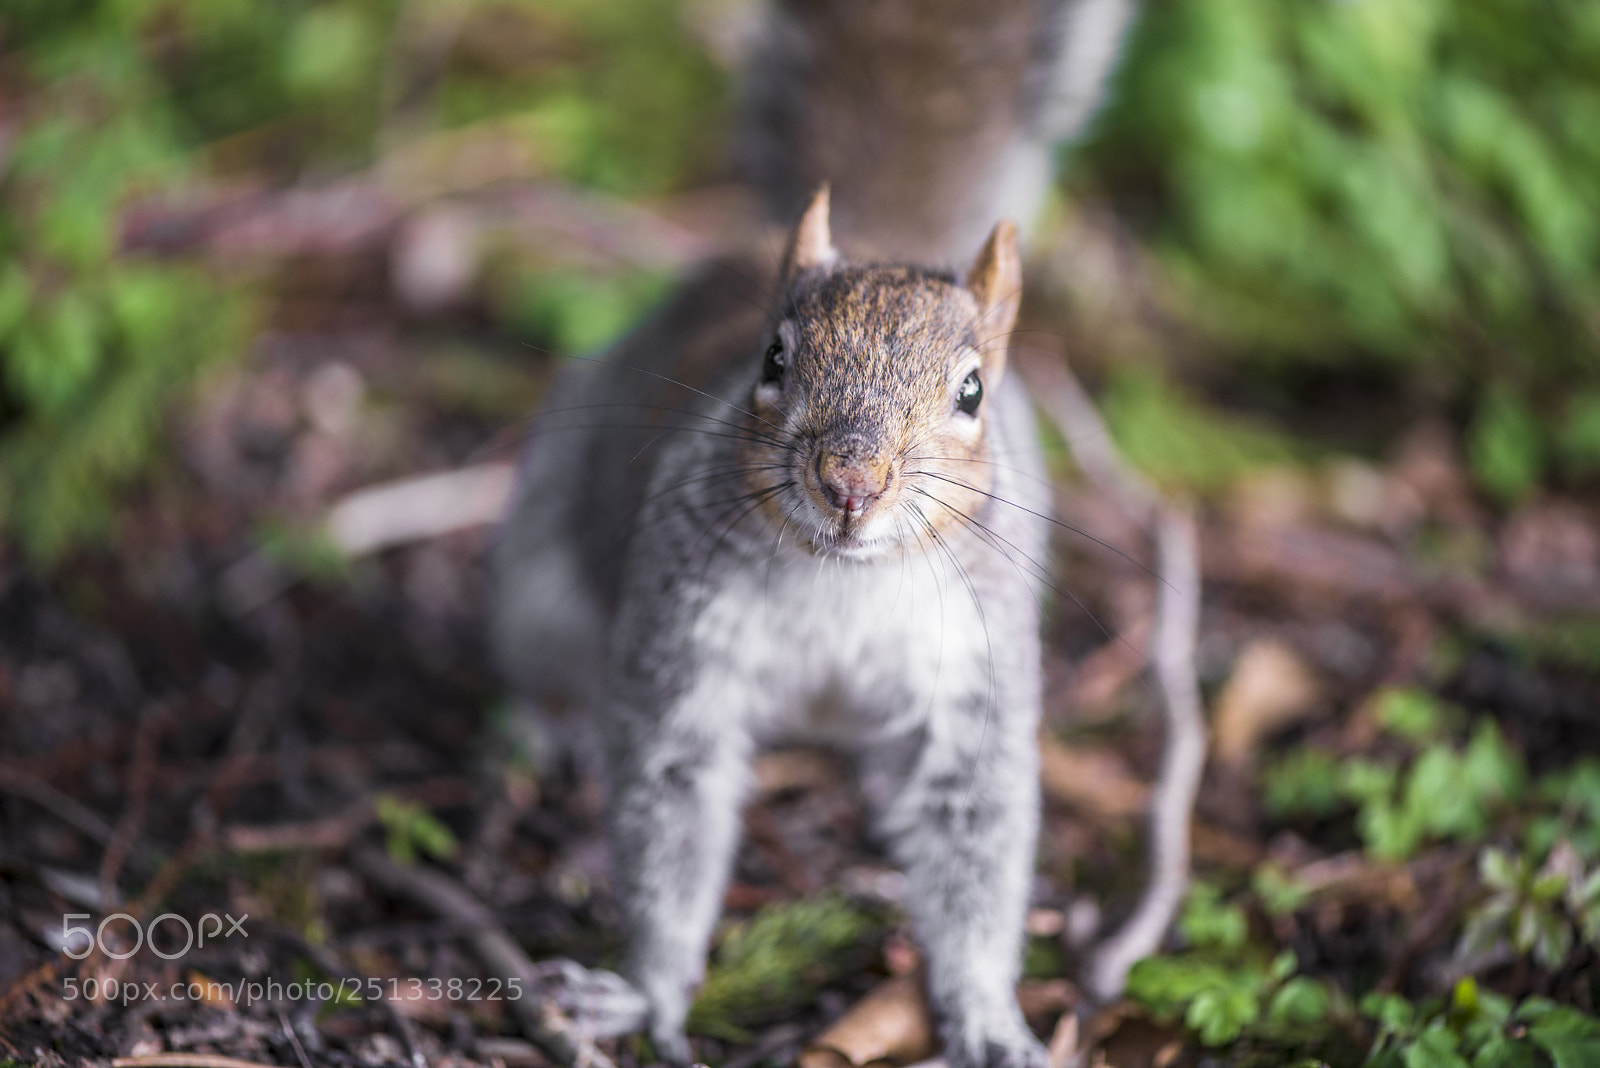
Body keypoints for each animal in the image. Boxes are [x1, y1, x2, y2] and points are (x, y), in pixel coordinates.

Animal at [490, 3, 1137, 1066]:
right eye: (772, 358)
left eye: (974, 392)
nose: (851, 483)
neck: (846, 581)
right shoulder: (681, 645)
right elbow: (670, 806)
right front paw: (646, 992)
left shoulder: (978, 679)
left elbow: (978, 836)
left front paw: (988, 1017)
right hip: (540, 576)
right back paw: (549, 723)